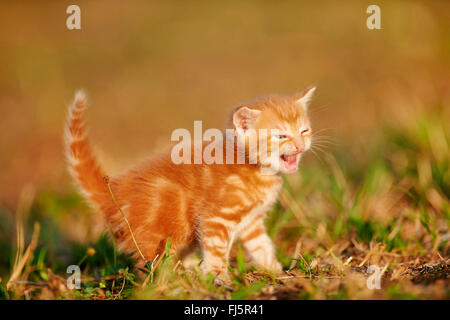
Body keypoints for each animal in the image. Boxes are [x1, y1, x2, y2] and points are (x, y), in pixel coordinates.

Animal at [64, 87, 316, 278]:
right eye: (281, 136)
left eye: (304, 130)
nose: (300, 145)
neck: (255, 169)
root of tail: (112, 192)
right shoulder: (215, 217)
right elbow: (216, 250)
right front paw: (217, 277)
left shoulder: (251, 221)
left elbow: (261, 245)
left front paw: (274, 269)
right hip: (160, 234)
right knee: (150, 266)